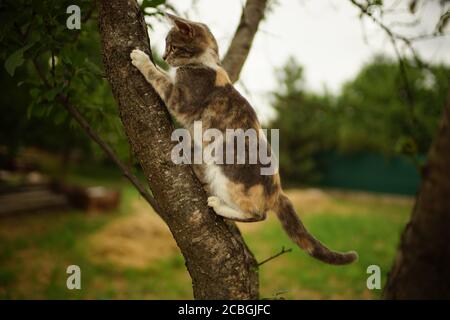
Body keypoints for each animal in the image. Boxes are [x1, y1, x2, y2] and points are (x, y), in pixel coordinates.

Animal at [130, 13, 358, 264]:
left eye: (172, 45)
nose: (163, 56)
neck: (205, 63)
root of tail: (278, 190)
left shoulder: (181, 100)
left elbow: (159, 77)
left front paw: (141, 58)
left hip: (227, 173)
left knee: (258, 214)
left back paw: (219, 205)